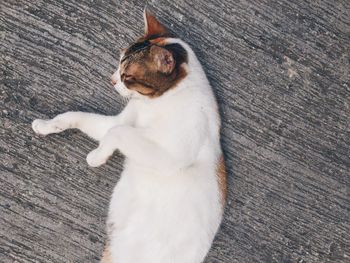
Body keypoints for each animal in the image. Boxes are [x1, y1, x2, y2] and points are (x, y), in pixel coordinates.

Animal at [32, 9, 227, 262]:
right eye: (119, 63)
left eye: (127, 75)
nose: (112, 79)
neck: (158, 101)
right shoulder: (121, 120)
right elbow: (79, 117)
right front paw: (46, 125)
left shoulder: (169, 157)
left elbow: (118, 132)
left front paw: (96, 157)